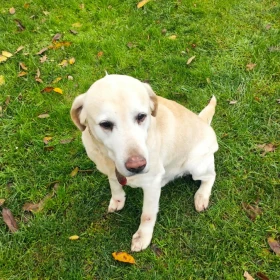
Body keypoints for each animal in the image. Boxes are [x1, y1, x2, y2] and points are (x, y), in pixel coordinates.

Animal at [70, 74, 219, 252]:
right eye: (105, 124)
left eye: (141, 116)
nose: (137, 166)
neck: (110, 159)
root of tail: (203, 122)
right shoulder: (111, 172)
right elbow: (115, 185)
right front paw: (118, 200)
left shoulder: (151, 185)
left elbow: (147, 215)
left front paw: (143, 237)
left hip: (196, 165)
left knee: (211, 176)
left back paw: (202, 196)